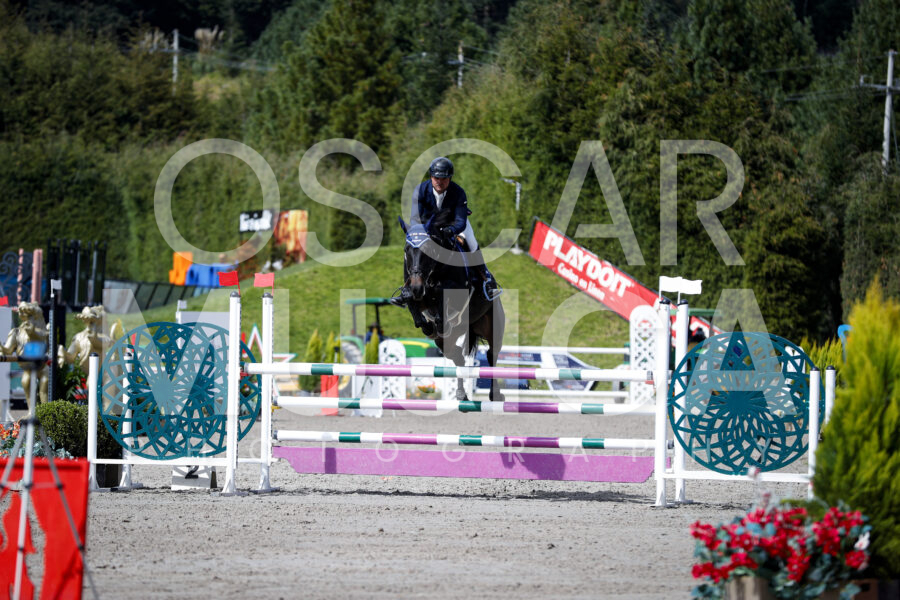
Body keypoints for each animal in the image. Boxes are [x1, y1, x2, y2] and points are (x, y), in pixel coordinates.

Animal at [398, 219, 505, 402]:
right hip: (450, 338)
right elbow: (411, 302)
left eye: (428, 250)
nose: (417, 287)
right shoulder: (417, 294)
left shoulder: (456, 293)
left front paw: (438, 322)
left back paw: (495, 394)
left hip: (493, 327)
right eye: (407, 250)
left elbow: (443, 292)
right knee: (456, 356)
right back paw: (462, 394)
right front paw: (428, 326)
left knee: (492, 355)